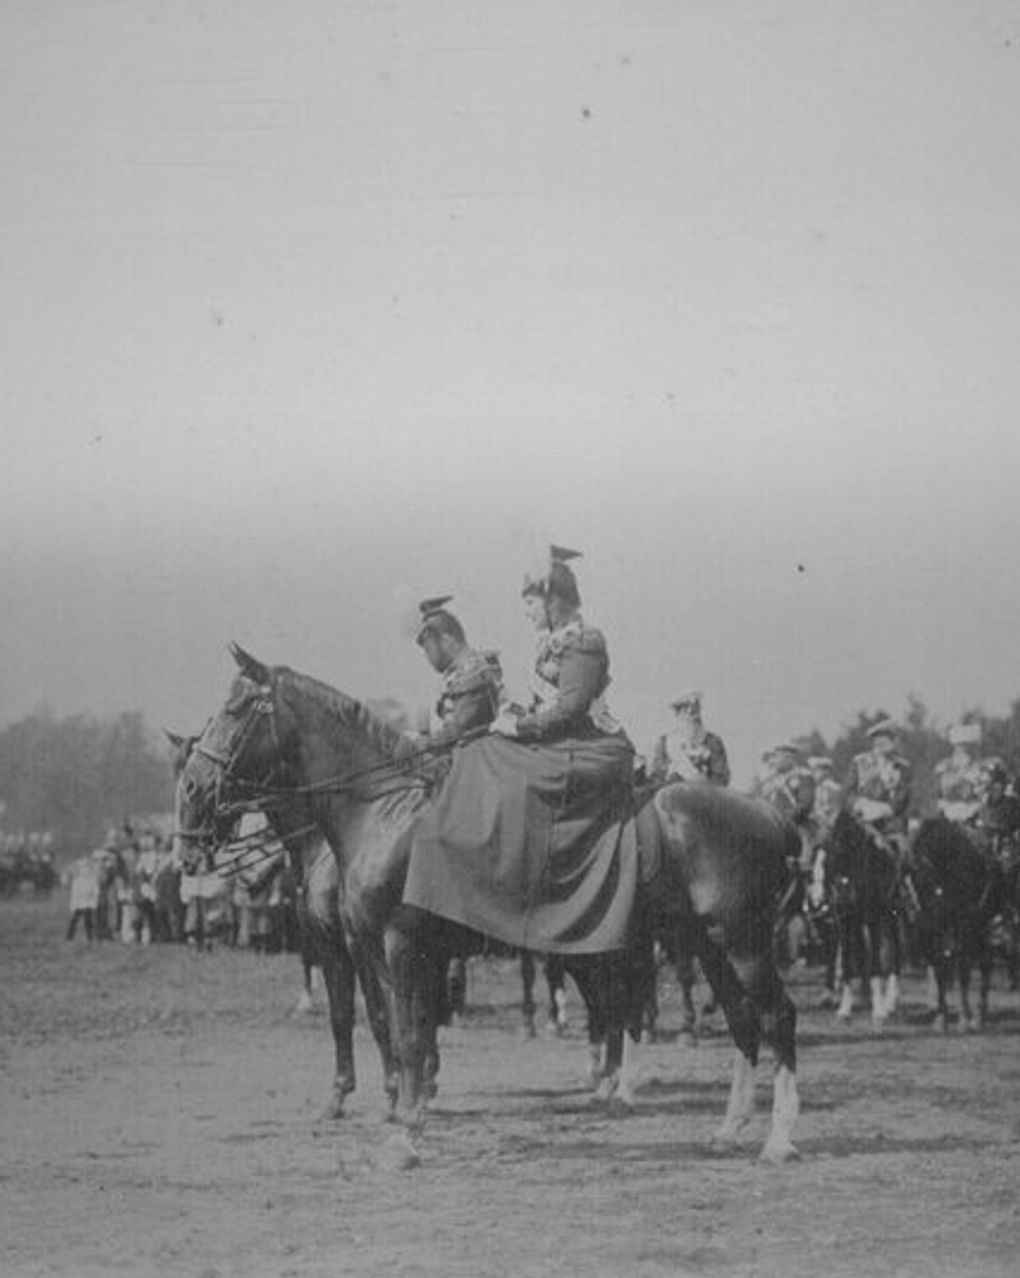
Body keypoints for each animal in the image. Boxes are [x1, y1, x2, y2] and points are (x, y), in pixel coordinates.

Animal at [176, 644, 812, 1165]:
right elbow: (397, 1027)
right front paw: (404, 1110)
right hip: (705, 944)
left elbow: (405, 1034)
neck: (385, 811)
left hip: (741, 942)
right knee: (736, 1019)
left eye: (236, 709)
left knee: (773, 1016)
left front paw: (402, 1131)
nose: (191, 792)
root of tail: (769, 813)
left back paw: (777, 1140)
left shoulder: (394, 945)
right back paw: (725, 1128)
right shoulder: (386, 949)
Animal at [915, 817, 1012, 1027]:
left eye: (928, 861)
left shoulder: (966, 925)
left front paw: (964, 1017)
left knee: (984, 965)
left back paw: (980, 1014)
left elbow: (963, 968)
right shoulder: (933, 928)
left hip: (983, 926)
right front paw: (941, 1017)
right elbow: (940, 968)